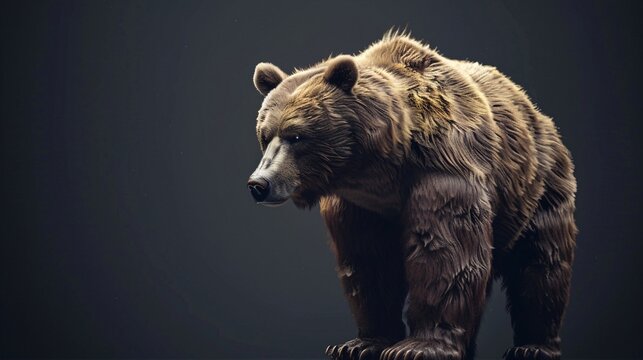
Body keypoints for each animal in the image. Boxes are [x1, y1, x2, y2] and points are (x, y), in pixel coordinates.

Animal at [247, 31, 580, 360]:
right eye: (265, 135)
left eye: (296, 135)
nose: (259, 183)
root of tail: (535, 111)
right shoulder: (360, 205)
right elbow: (368, 261)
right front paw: (358, 344)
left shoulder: (443, 170)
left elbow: (444, 254)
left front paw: (416, 347)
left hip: (539, 187)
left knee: (541, 263)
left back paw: (533, 346)